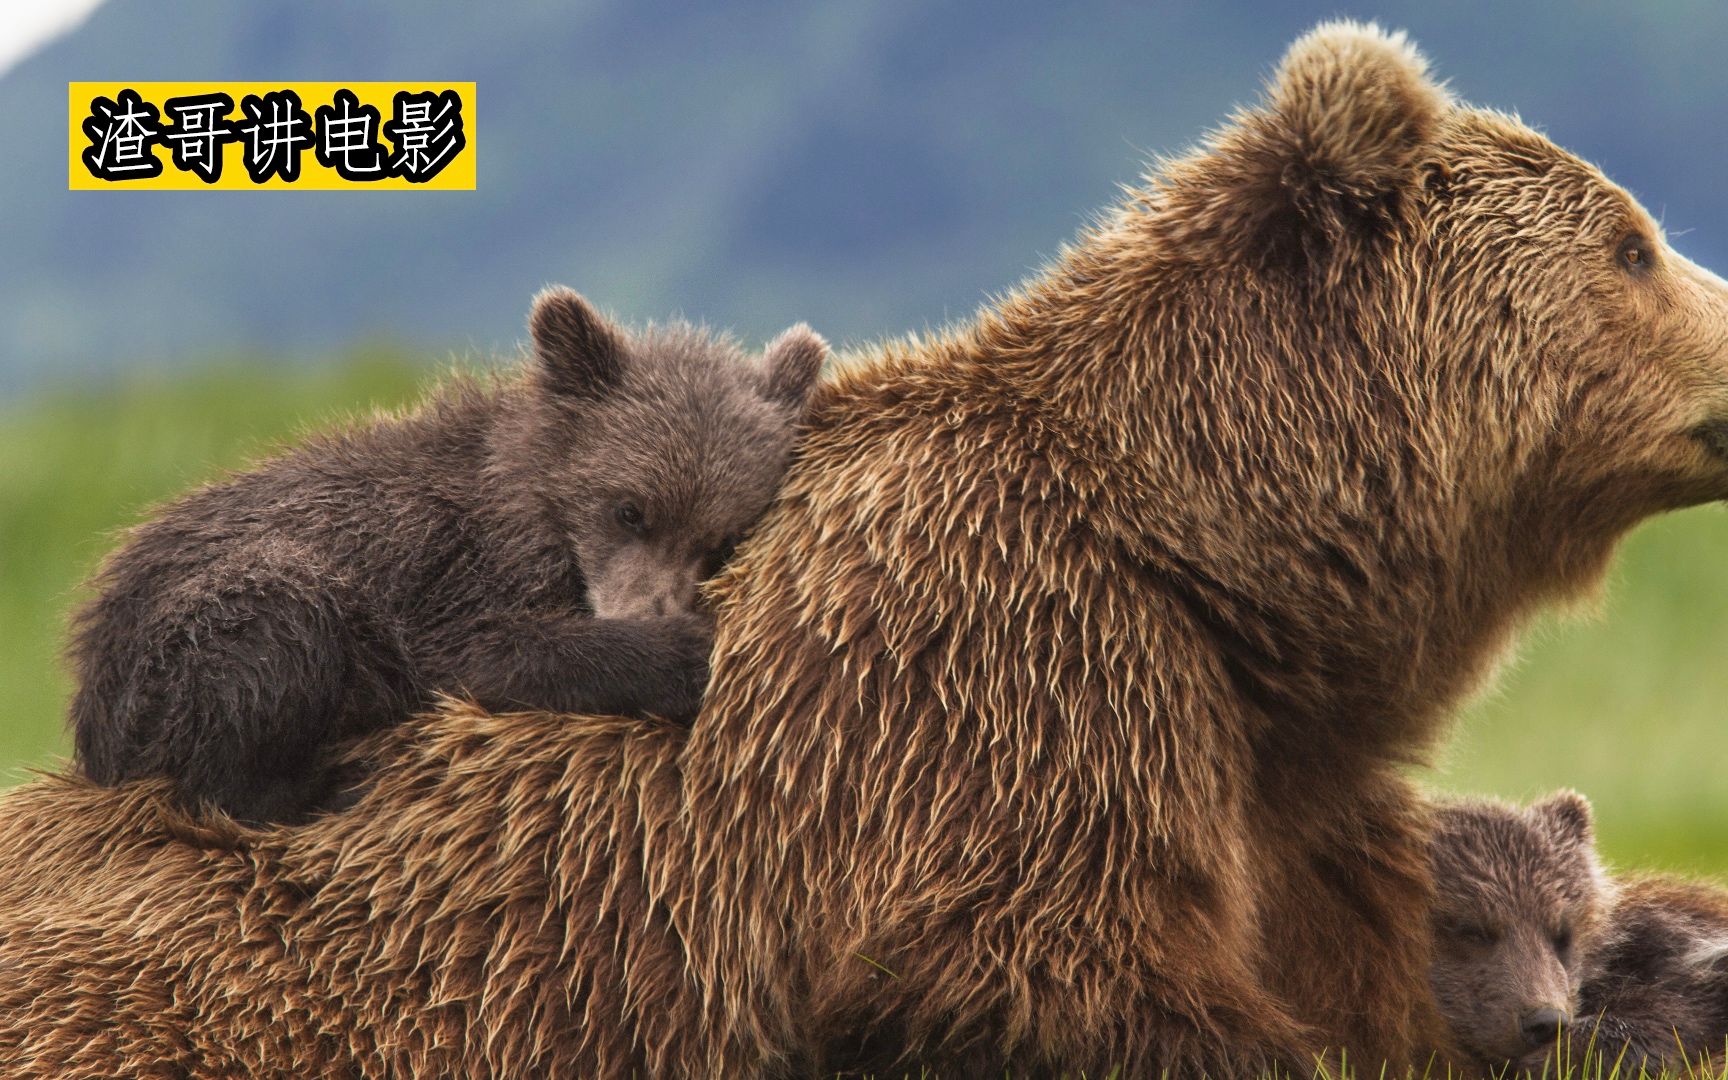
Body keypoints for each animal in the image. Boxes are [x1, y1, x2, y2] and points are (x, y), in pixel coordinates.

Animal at [66, 286, 826, 824]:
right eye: (630, 509)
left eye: (719, 539)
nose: (650, 609)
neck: (532, 503)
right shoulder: (448, 569)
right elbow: (482, 653)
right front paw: (682, 651)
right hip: (185, 646)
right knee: (273, 634)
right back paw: (326, 782)